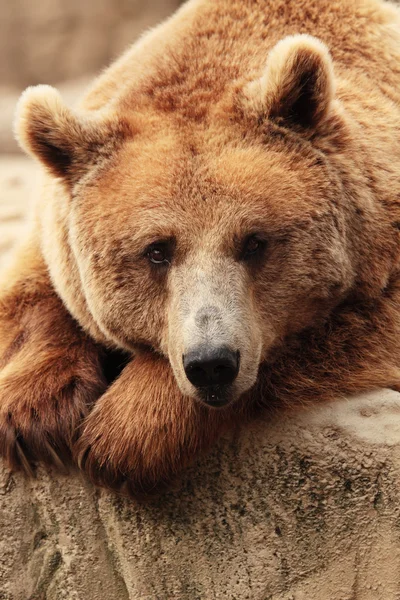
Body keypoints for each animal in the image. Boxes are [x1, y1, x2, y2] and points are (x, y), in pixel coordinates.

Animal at [0, 0, 400, 496]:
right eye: (156, 250)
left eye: (254, 241)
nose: (211, 363)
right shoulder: (55, 223)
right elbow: (35, 286)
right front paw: (33, 415)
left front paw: (125, 430)